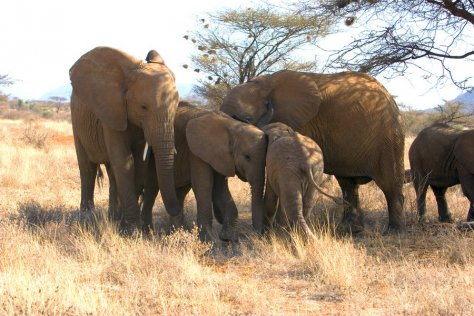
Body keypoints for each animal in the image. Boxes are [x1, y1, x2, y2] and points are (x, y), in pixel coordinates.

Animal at [70, 46, 181, 232]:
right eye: (143, 107)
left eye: (177, 105)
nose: (176, 210)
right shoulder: (113, 110)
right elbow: (123, 161)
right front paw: (131, 229)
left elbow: (139, 163)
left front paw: (128, 226)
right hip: (76, 122)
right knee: (87, 169)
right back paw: (86, 217)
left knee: (111, 172)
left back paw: (112, 218)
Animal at [141, 102, 268, 241]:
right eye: (247, 157)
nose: (257, 234)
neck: (231, 125)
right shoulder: (195, 150)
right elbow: (204, 185)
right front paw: (209, 240)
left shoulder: (220, 156)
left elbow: (219, 189)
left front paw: (228, 237)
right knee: (151, 189)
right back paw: (149, 233)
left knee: (180, 192)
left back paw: (175, 233)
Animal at [220, 69, 406, 232]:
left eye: (248, 119)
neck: (264, 84)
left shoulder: (301, 121)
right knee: (348, 184)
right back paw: (351, 230)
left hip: (388, 137)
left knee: (389, 184)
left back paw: (393, 231)